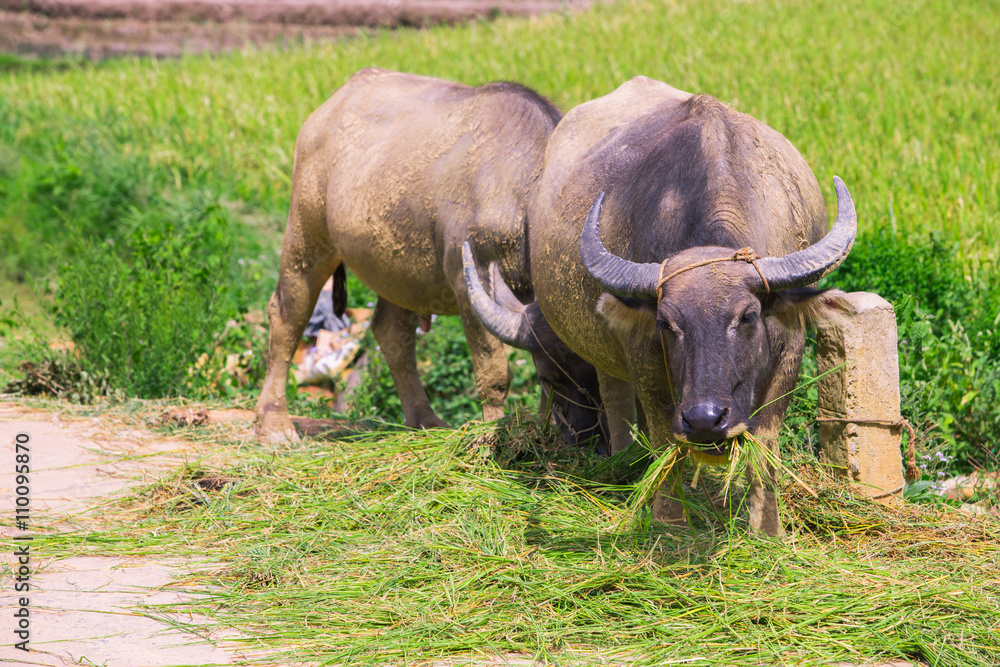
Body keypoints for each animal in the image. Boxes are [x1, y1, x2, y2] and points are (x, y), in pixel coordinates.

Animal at [255, 68, 605, 449]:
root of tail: (325, 111)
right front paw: (495, 432)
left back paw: (424, 420)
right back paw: (274, 425)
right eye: (550, 377)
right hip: (307, 235)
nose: (586, 434)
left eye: (604, 374)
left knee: (391, 332)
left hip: (398, 273)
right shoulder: (470, 286)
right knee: (287, 316)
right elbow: (494, 373)